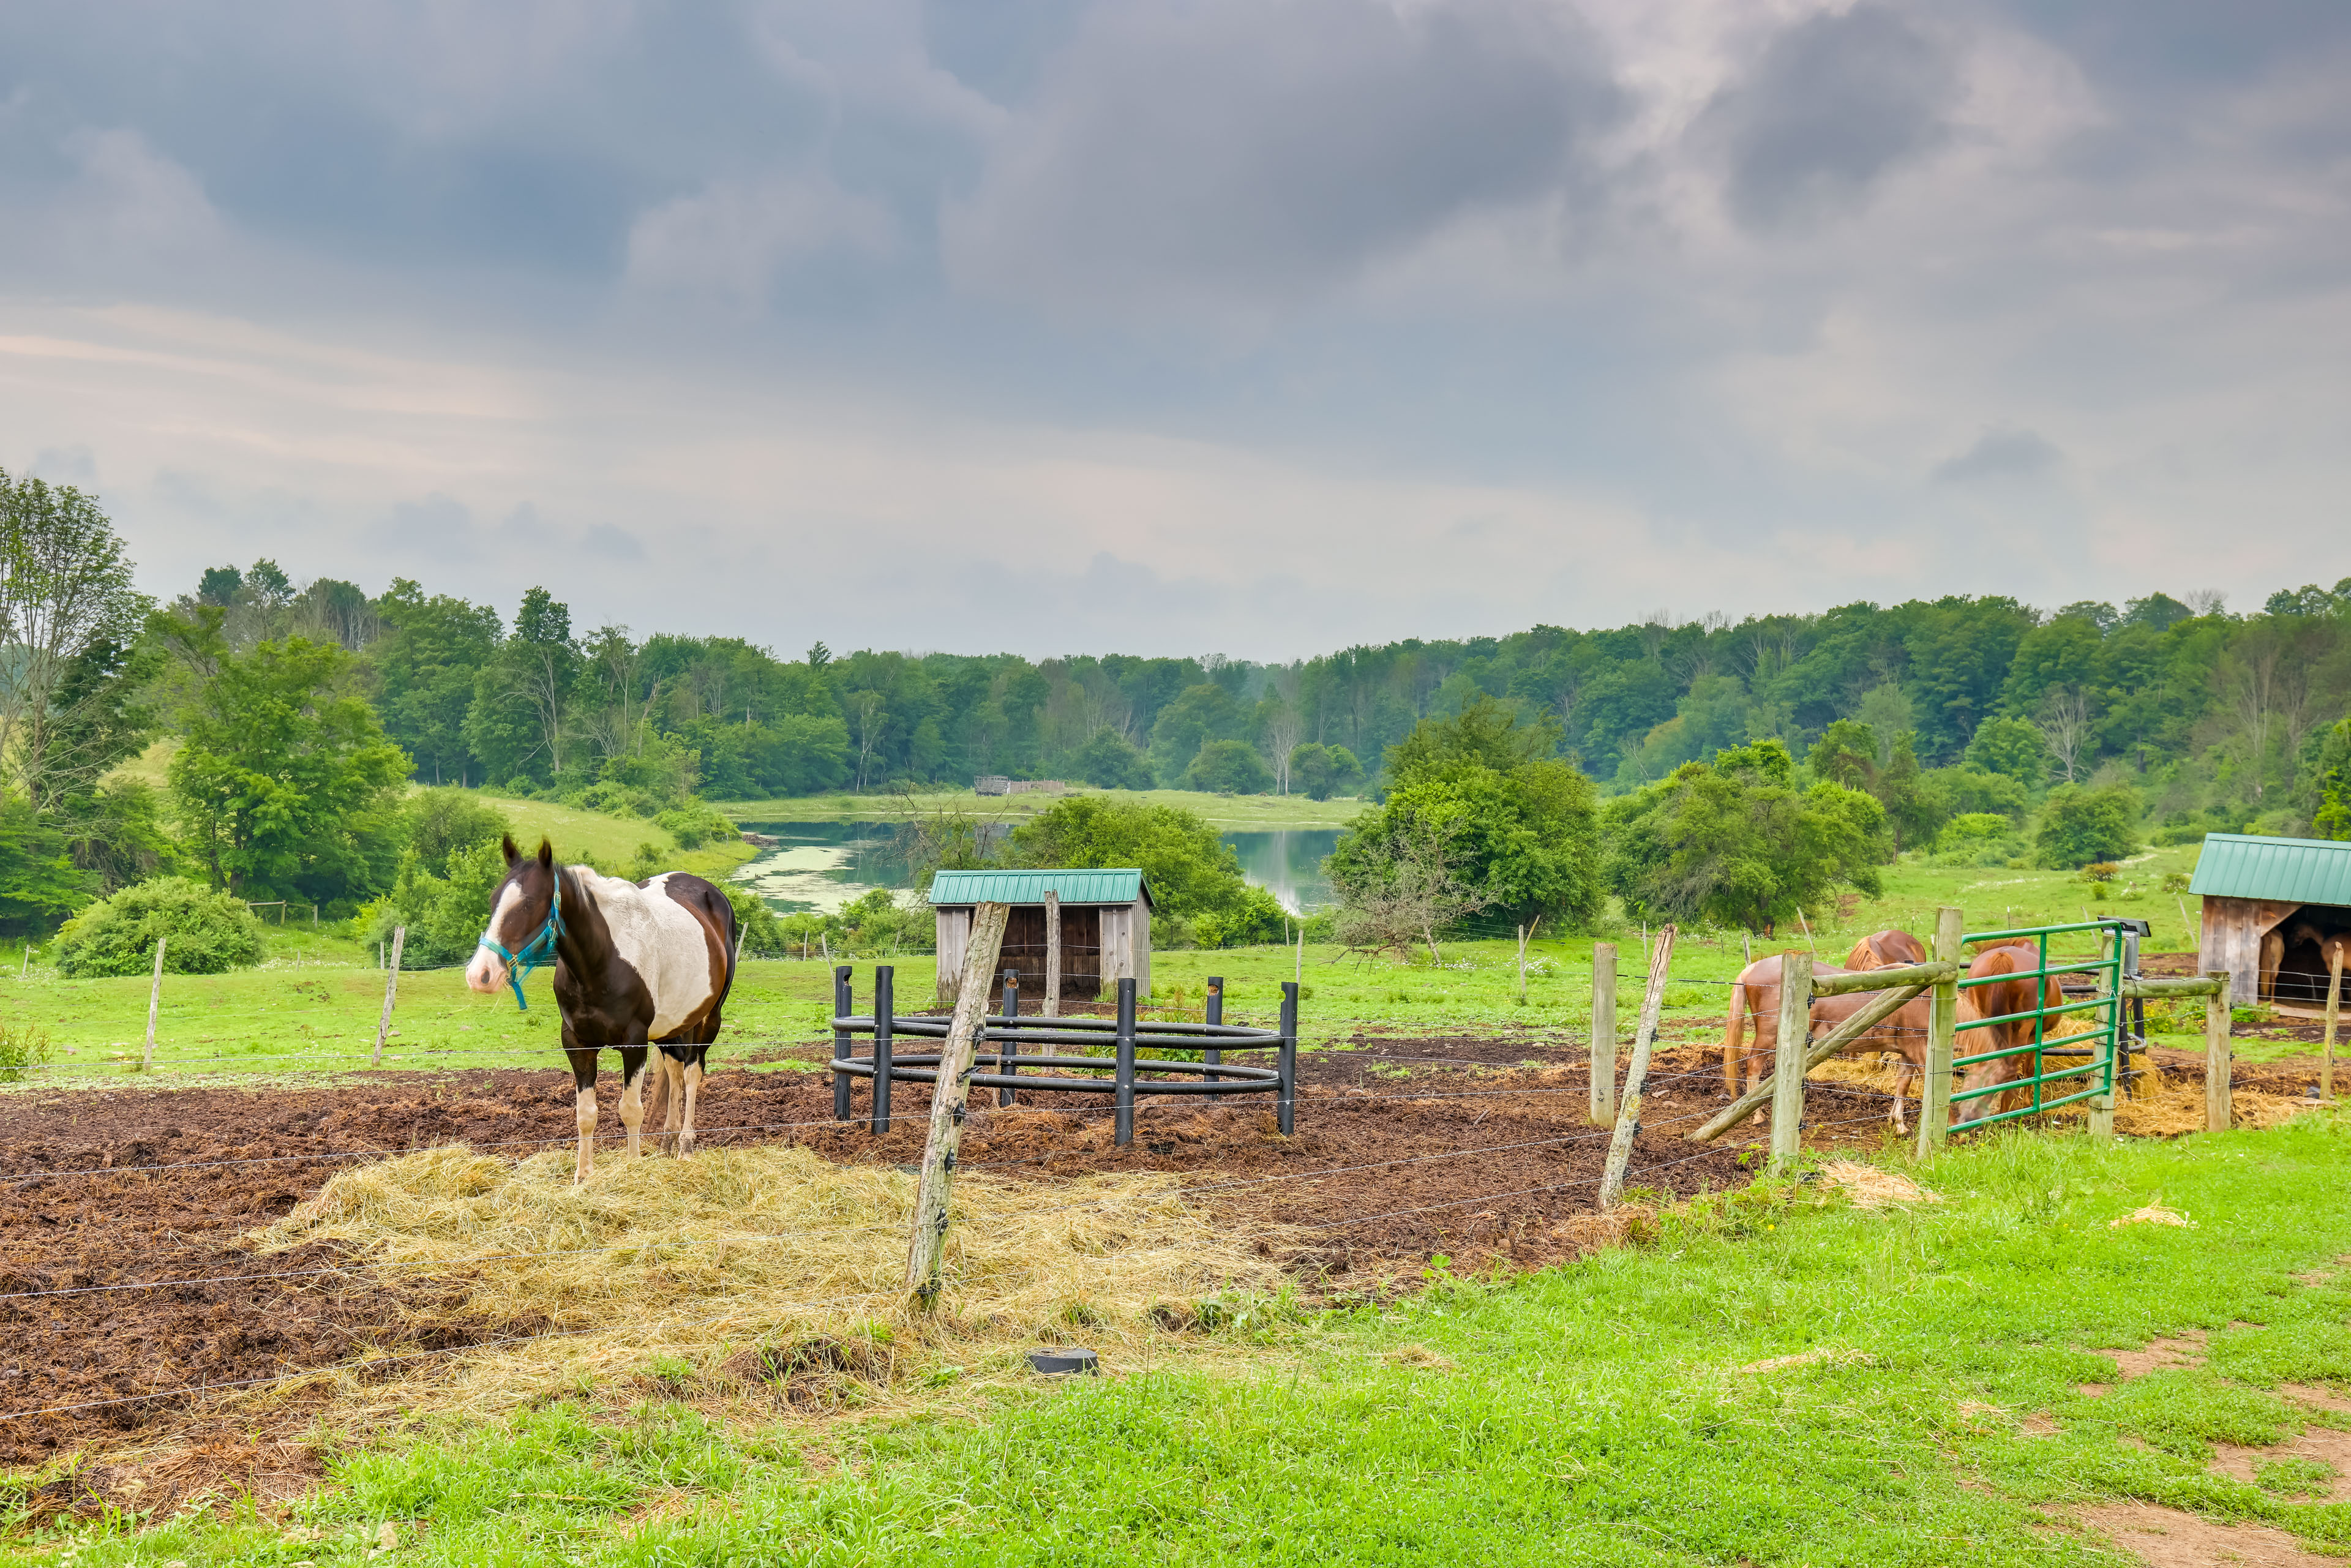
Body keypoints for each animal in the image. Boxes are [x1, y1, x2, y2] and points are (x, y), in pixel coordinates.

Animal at [465, 841, 738, 1185]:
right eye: (493, 900)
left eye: (528, 904)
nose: (479, 974)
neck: (602, 959)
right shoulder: (577, 1043)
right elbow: (586, 1114)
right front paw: (583, 1177)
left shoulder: (634, 1042)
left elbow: (631, 1110)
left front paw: (633, 1169)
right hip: (671, 1026)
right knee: (675, 1069)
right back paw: (668, 1142)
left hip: (708, 1018)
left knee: (692, 1072)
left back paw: (686, 1145)